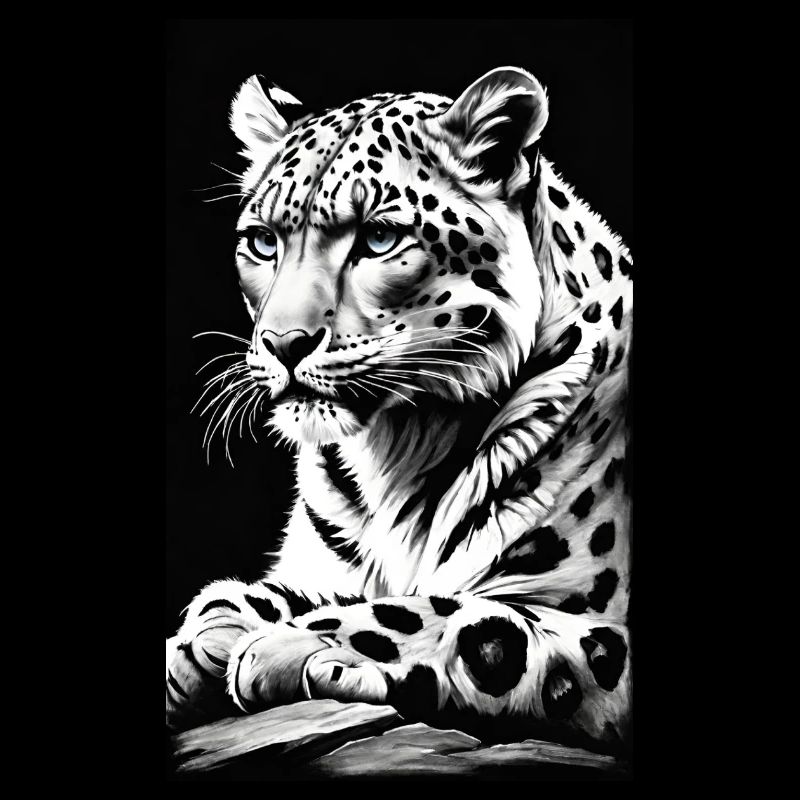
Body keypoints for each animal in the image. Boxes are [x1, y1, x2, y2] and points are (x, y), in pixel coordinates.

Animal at [166, 66, 633, 756]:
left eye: (380, 238)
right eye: (263, 242)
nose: (283, 342)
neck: (397, 448)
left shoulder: (609, 629)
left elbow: (452, 613)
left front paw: (284, 643)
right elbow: (312, 587)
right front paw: (212, 627)